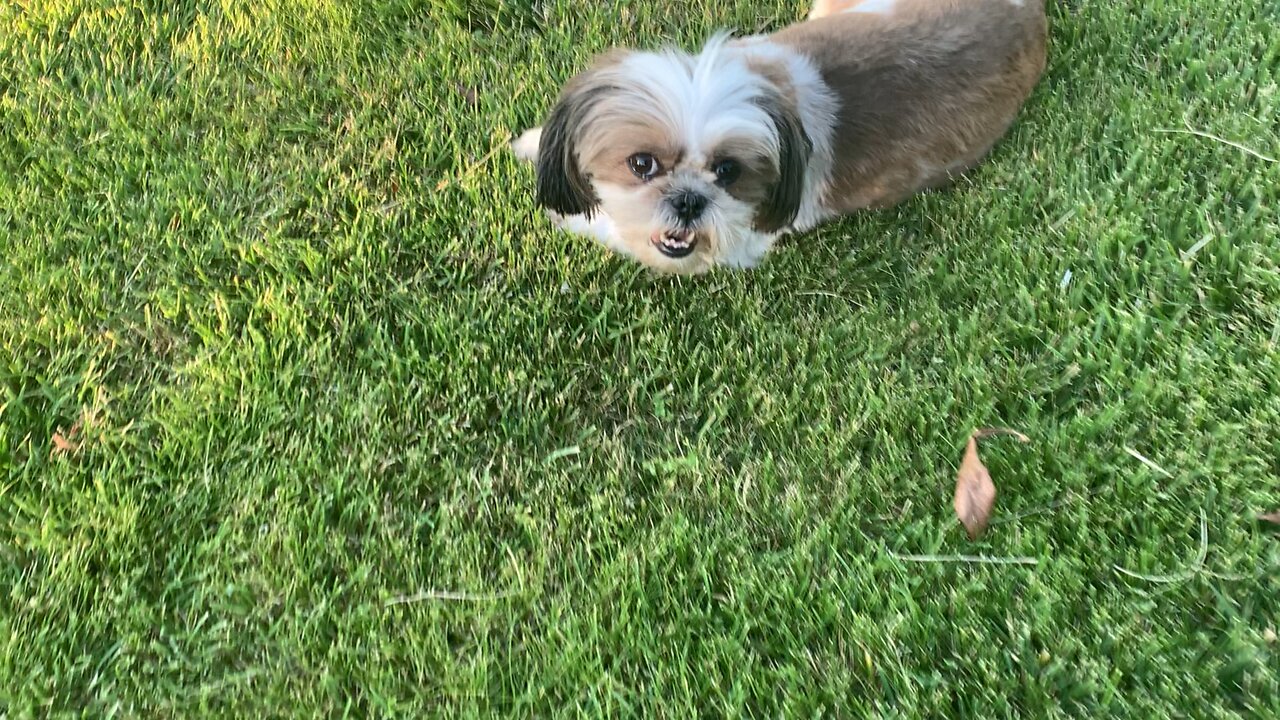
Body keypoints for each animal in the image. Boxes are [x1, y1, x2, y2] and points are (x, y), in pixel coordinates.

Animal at [504, 0, 1044, 271]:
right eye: (642, 164)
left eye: (728, 172)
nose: (689, 200)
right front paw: (532, 144)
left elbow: (615, 229)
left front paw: (566, 208)